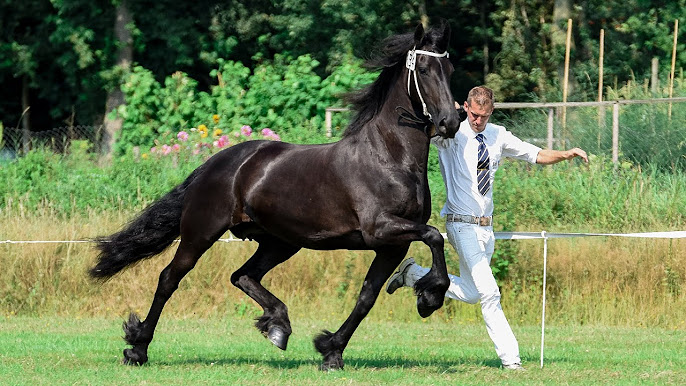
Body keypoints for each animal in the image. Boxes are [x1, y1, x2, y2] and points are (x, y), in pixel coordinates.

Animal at [91, 19, 464, 370]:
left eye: (449, 69)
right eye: (425, 70)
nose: (450, 122)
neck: (388, 157)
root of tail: (214, 163)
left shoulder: (391, 245)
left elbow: (367, 297)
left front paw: (330, 351)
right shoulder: (381, 229)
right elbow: (434, 236)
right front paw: (429, 297)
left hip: (280, 242)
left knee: (242, 275)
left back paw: (278, 326)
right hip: (201, 233)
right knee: (170, 278)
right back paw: (137, 348)